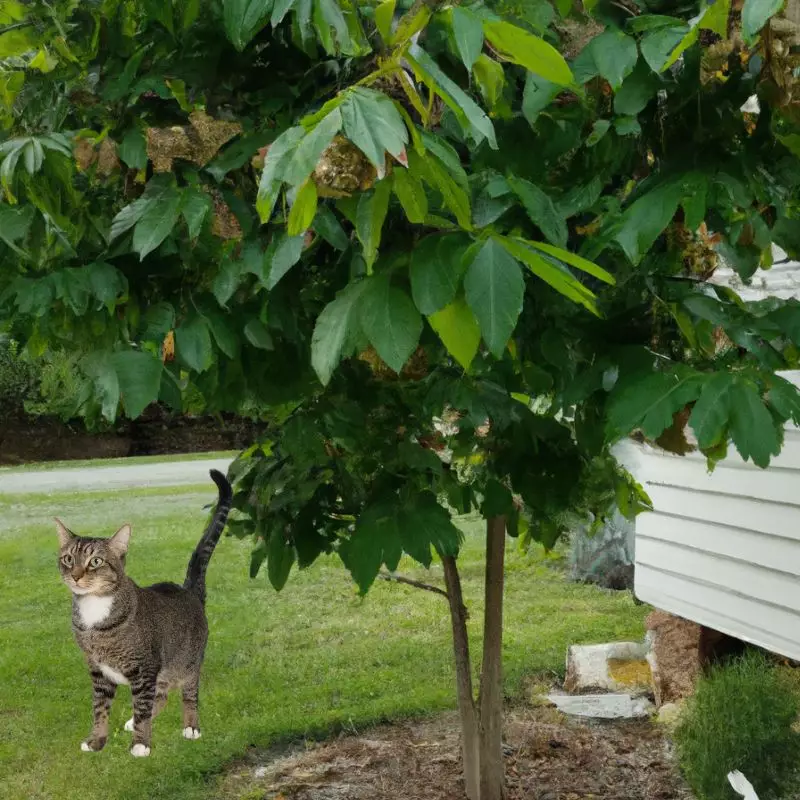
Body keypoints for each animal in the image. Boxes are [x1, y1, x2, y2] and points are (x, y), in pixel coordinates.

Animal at [55, 468, 231, 756]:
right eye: (69, 559)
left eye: (96, 561)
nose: (76, 576)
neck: (94, 613)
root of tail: (188, 590)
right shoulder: (98, 670)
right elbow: (100, 710)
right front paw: (96, 740)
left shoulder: (144, 668)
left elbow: (142, 707)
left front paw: (140, 744)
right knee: (162, 695)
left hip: (188, 660)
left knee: (188, 693)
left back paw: (190, 726)